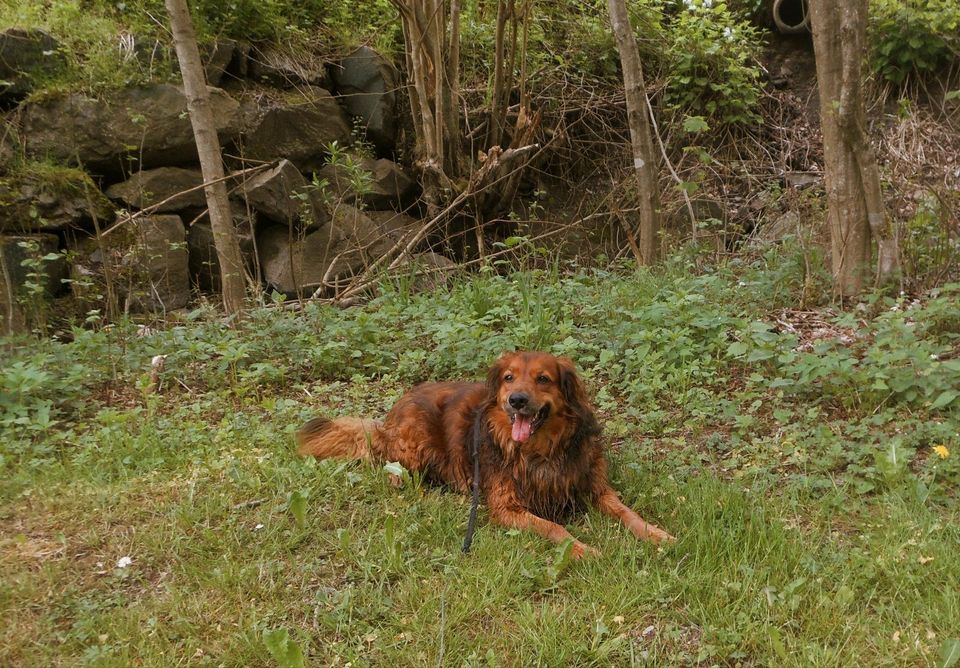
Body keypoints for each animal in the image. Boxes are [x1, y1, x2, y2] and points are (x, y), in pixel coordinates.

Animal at [296, 352, 672, 556]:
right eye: (508, 377)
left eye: (543, 379)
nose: (516, 400)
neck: (541, 451)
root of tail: (389, 416)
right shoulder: (506, 507)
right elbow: (554, 528)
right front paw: (581, 549)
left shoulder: (596, 488)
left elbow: (627, 513)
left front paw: (657, 534)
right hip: (414, 444)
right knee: (393, 468)